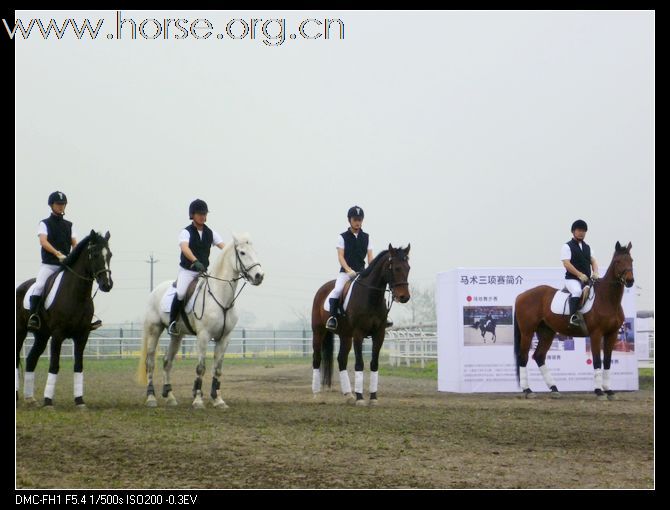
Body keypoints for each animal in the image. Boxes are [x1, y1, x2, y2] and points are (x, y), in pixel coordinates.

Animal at [16, 233, 114, 408]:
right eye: (95, 254)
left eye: (109, 255)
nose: (107, 285)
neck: (76, 294)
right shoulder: (57, 335)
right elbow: (54, 365)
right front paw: (48, 401)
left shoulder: (82, 336)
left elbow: (78, 366)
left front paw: (80, 400)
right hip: (20, 332)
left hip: (41, 336)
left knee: (31, 359)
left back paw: (30, 398)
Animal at [137, 233, 266, 408]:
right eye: (242, 253)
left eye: (255, 252)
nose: (259, 276)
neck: (220, 297)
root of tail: (156, 290)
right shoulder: (203, 336)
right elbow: (201, 368)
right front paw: (198, 400)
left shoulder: (224, 338)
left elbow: (217, 369)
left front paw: (218, 400)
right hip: (154, 330)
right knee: (150, 362)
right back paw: (151, 398)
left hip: (177, 336)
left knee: (167, 361)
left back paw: (170, 397)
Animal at [312, 243, 412, 406]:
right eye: (396, 268)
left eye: (408, 268)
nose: (404, 297)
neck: (370, 296)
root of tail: (323, 288)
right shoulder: (358, 334)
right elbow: (359, 363)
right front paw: (360, 398)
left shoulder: (379, 334)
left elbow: (374, 363)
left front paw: (373, 397)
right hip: (318, 332)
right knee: (316, 358)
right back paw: (317, 394)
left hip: (345, 336)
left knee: (341, 360)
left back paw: (348, 394)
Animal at [516, 241, 636, 400]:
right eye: (617, 262)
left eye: (631, 260)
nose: (630, 281)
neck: (607, 300)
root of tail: (521, 295)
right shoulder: (596, 334)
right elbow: (597, 360)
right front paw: (599, 391)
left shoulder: (612, 334)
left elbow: (607, 361)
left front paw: (609, 390)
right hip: (527, 332)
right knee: (523, 357)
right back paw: (528, 390)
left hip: (547, 332)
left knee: (539, 356)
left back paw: (554, 389)